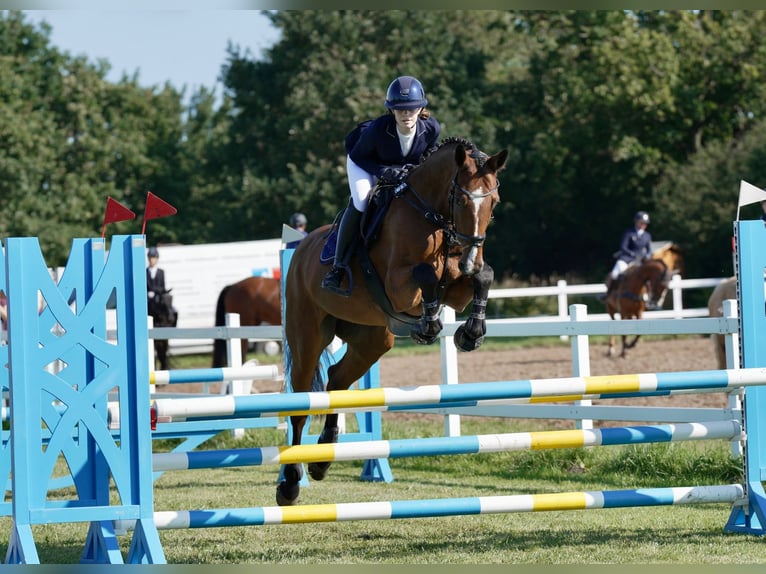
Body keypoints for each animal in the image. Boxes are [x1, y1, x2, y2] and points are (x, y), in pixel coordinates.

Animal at [282, 137, 510, 506]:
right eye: (461, 199)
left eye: (494, 201)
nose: (471, 257)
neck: (431, 214)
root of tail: (300, 249)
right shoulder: (400, 286)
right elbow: (426, 274)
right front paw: (429, 327)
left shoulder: (458, 289)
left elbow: (483, 277)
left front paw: (470, 333)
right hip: (307, 337)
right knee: (302, 402)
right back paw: (289, 483)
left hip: (371, 341)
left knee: (336, 382)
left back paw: (322, 459)